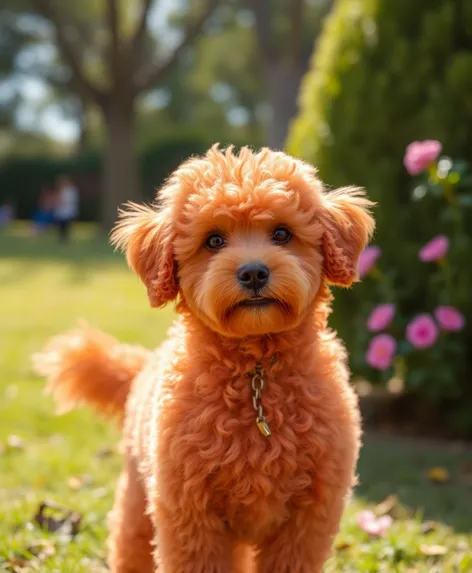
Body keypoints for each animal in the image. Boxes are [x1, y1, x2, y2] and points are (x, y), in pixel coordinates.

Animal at [33, 145, 374, 568]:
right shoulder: (190, 511)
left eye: (282, 233)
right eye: (214, 240)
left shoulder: (309, 516)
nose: (254, 273)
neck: (256, 377)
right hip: (138, 499)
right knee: (130, 544)